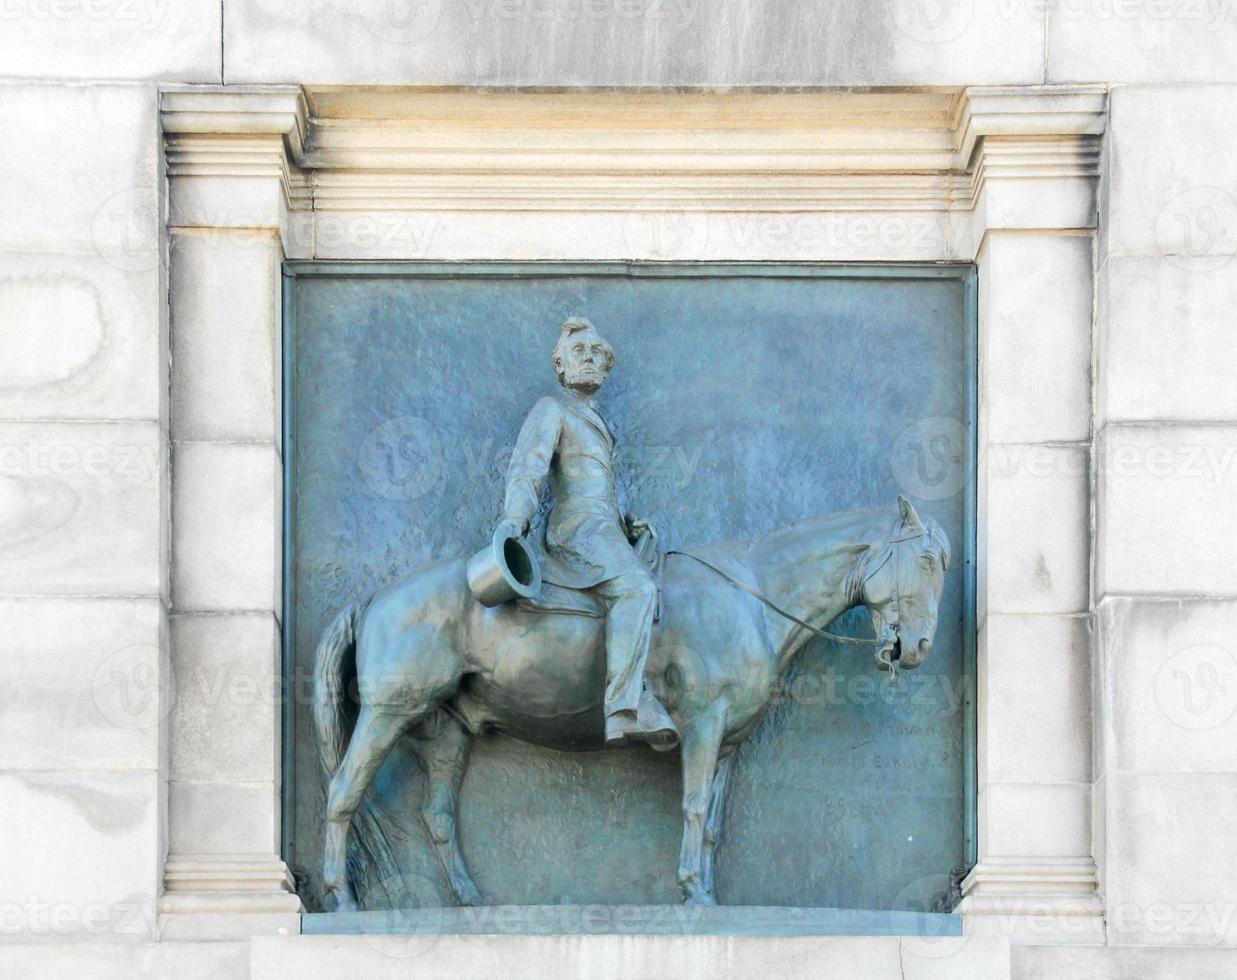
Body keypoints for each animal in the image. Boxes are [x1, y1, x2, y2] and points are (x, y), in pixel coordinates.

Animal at [314, 497, 950, 910]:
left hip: (446, 733)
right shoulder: (704, 726)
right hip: (389, 715)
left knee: (438, 816)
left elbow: (714, 821)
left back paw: (469, 901)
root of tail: (374, 598)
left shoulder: (729, 743)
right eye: (925, 561)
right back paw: (341, 899)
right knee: (344, 792)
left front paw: (708, 892)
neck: (750, 596)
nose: (919, 647)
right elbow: (693, 806)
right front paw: (692, 891)